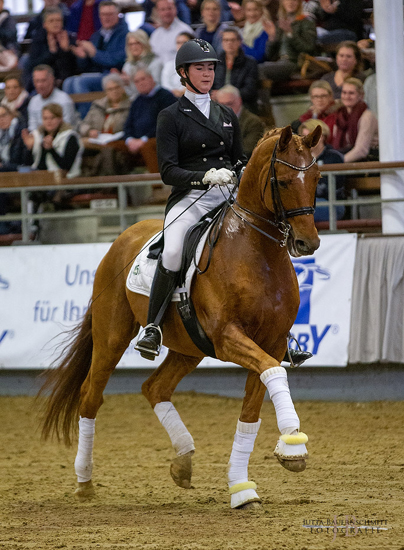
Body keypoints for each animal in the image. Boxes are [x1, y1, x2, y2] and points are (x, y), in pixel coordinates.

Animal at [39, 126, 320, 512]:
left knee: (154, 387)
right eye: (285, 179)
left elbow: (252, 408)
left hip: (189, 348)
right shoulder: (228, 338)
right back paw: (84, 482)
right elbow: (273, 373)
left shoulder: (272, 343)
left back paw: (183, 460)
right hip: (112, 338)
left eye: (317, 177)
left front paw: (242, 488)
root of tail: (124, 237)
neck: (255, 253)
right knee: (90, 396)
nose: (309, 243)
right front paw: (294, 443)